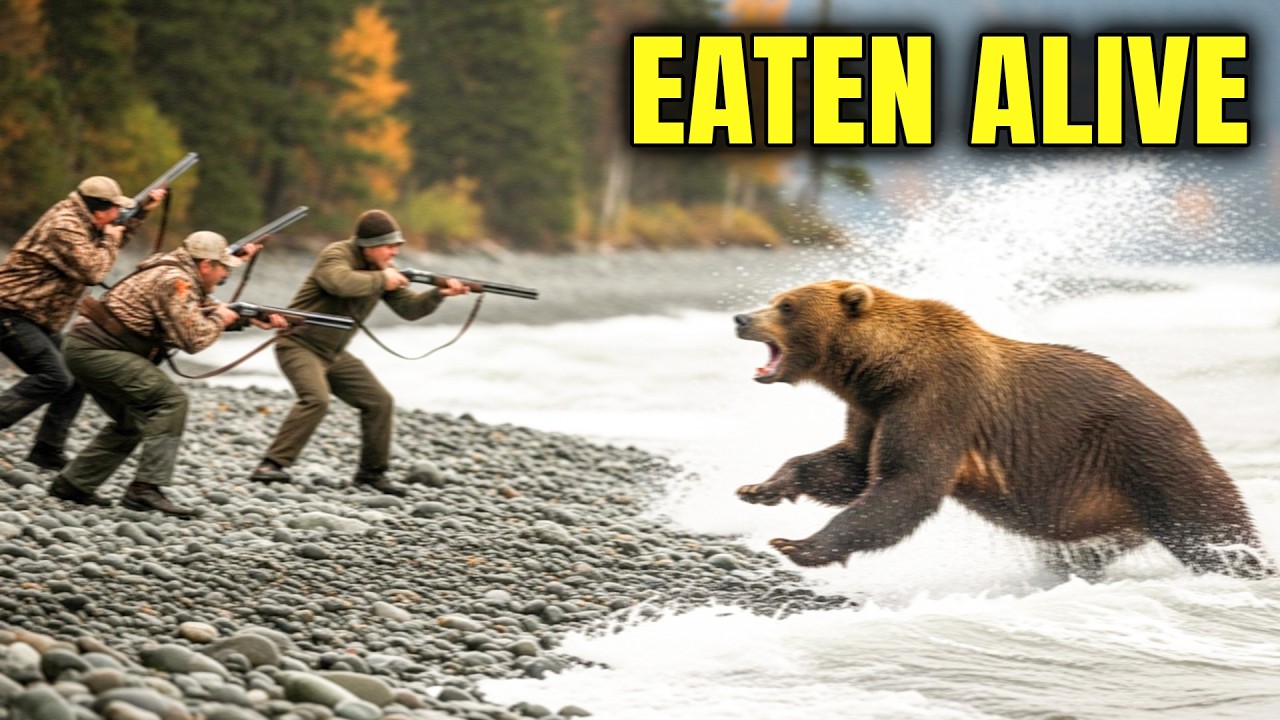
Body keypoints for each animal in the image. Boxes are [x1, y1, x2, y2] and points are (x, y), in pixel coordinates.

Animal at [733, 280, 1275, 580]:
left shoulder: (937, 400)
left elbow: (905, 485)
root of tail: (1188, 423)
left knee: (1212, 529)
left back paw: (1250, 567)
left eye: (786, 306)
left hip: (1152, 458)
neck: (881, 369)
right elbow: (852, 468)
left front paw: (798, 545)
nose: (740, 317)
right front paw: (762, 487)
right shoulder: (873, 408)